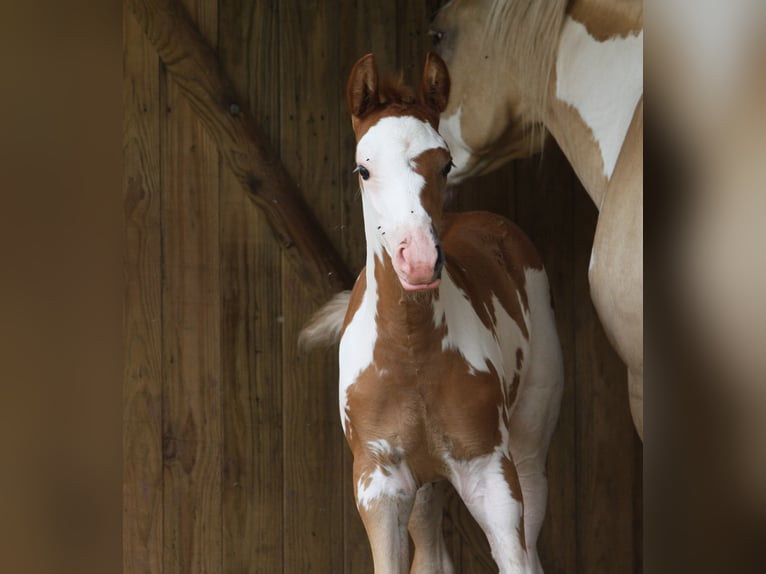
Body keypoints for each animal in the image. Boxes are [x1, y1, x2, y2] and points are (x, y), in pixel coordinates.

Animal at [302, 51, 564, 572]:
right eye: (363, 169)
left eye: (446, 164)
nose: (419, 259)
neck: (410, 348)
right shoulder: (378, 485)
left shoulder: (491, 474)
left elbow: (515, 557)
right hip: (425, 484)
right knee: (430, 551)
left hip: (527, 450)